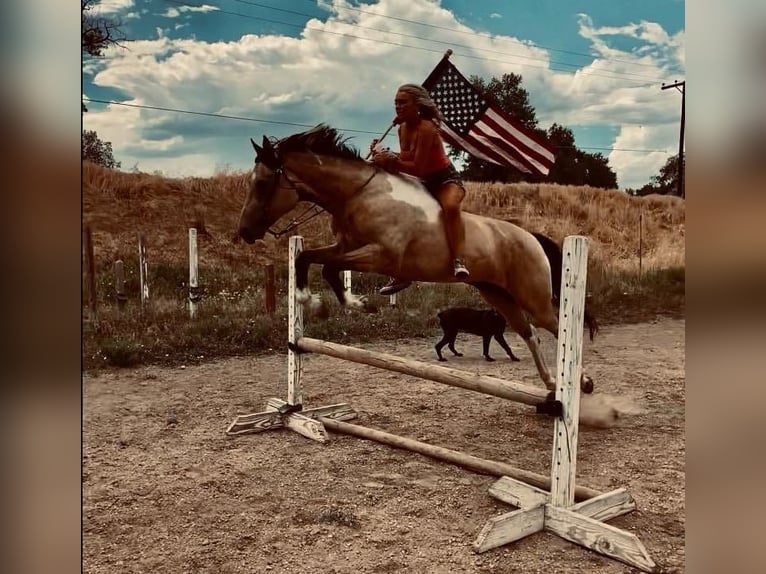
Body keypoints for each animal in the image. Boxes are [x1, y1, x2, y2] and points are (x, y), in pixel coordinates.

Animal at [238, 125, 592, 396]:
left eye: (262, 183)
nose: (244, 232)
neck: (358, 194)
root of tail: (531, 237)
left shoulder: (381, 255)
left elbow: (329, 267)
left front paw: (358, 304)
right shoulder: (345, 246)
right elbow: (308, 259)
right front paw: (311, 301)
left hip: (533, 297)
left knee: (557, 328)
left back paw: (582, 383)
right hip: (497, 295)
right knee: (529, 333)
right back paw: (551, 385)